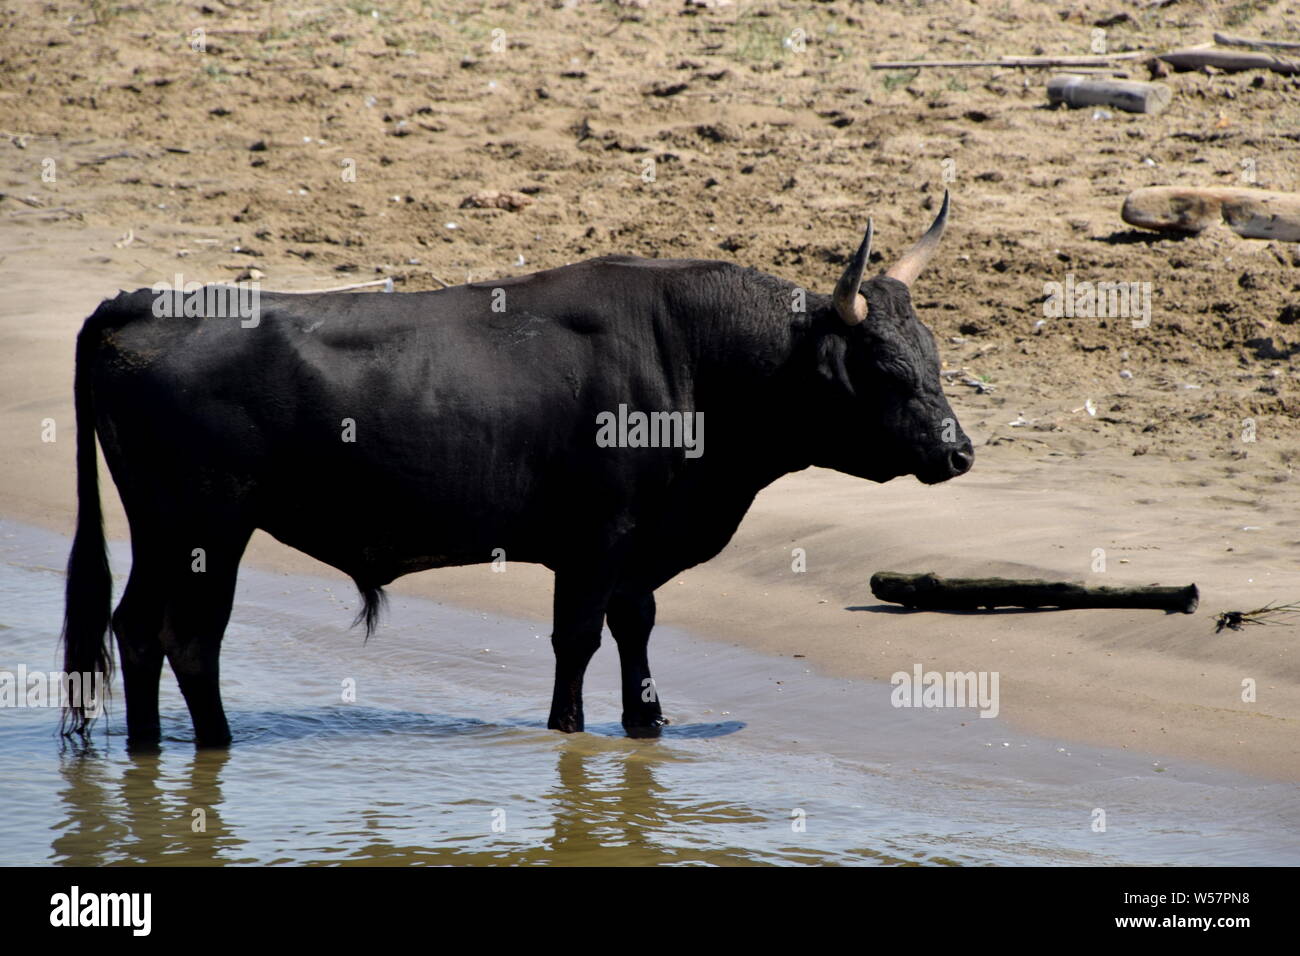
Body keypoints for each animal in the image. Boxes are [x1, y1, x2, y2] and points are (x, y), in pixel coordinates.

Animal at [63, 195, 977, 749]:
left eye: (934, 353)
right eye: (883, 367)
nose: (959, 449)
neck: (692, 360)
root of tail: (140, 303)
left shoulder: (636, 547)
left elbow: (635, 627)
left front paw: (647, 724)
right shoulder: (597, 538)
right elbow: (577, 639)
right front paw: (567, 729)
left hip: (163, 527)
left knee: (137, 630)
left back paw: (153, 750)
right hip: (207, 527)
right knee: (186, 636)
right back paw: (212, 747)